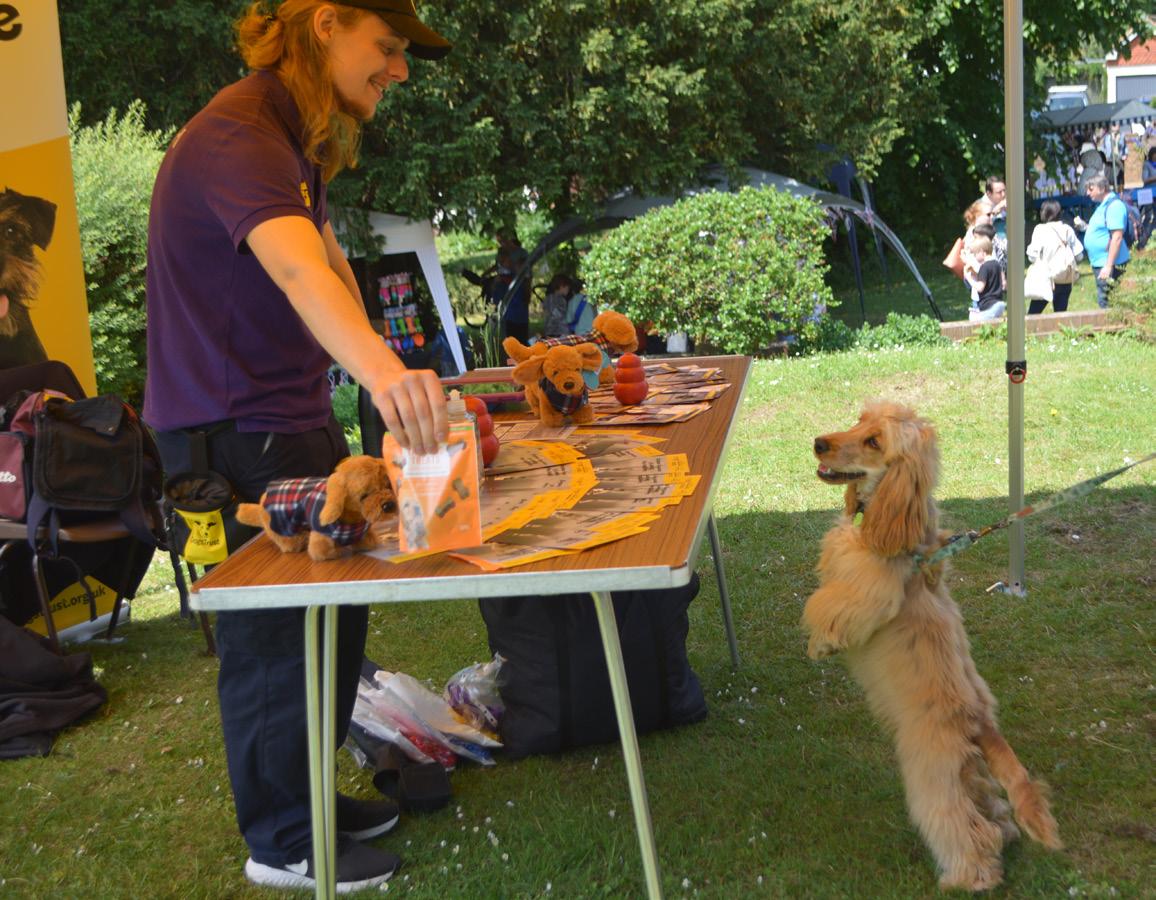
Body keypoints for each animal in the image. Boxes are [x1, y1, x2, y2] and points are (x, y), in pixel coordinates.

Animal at [802, 401, 1060, 891]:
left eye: (874, 441)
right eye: (859, 419)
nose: (818, 443)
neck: (903, 534)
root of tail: (981, 723)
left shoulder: (872, 589)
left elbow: (835, 600)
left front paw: (821, 643)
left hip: (931, 769)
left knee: (963, 826)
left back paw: (968, 877)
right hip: (966, 769)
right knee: (992, 811)